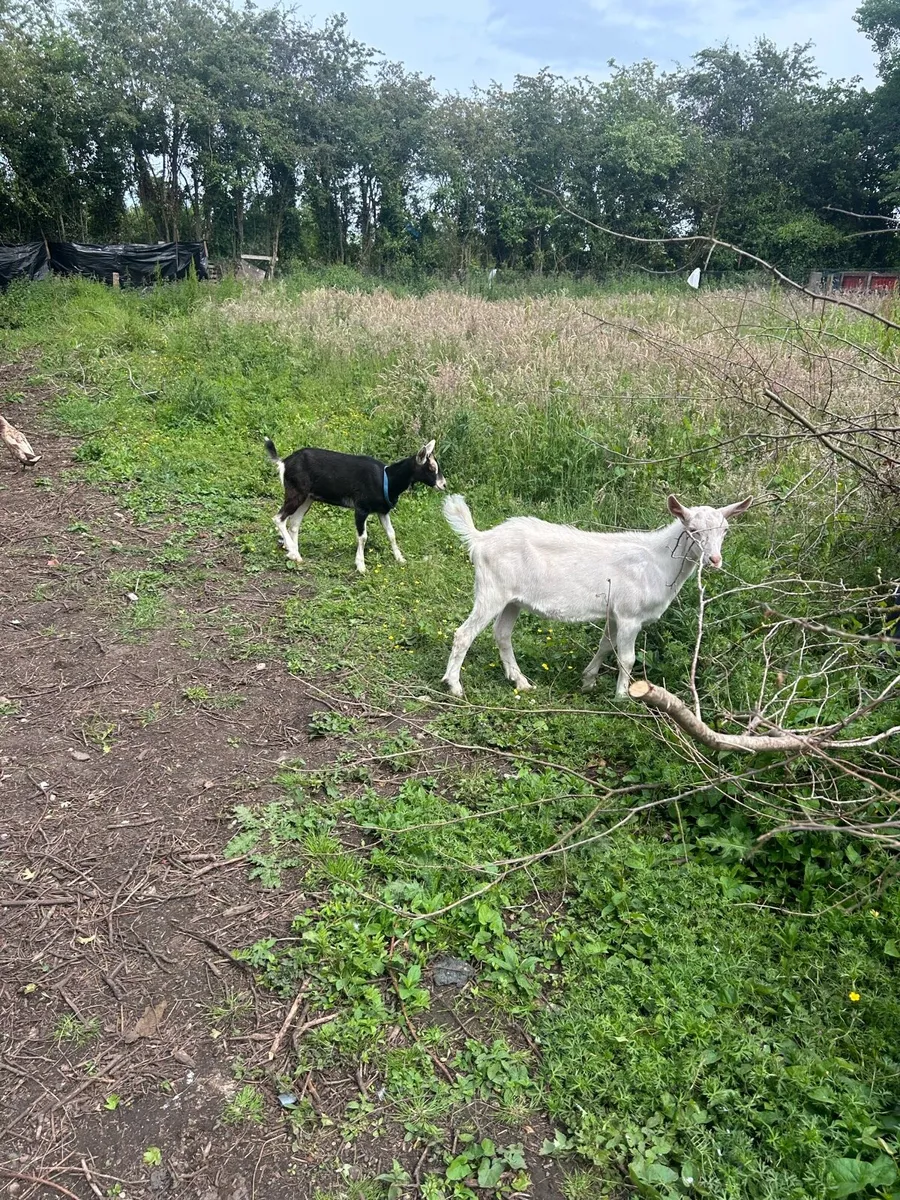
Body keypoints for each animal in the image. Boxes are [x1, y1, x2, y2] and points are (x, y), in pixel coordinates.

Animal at [264, 437, 446, 573]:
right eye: (431, 467)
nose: (443, 485)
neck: (387, 479)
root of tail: (284, 462)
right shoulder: (361, 509)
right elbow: (363, 537)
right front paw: (361, 566)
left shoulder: (383, 511)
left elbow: (391, 534)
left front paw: (401, 559)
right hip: (295, 492)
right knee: (279, 518)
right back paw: (293, 552)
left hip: (308, 497)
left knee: (294, 523)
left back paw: (295, 554)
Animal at [441, 492, 752, 698]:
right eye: (692, 530)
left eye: (725, 530)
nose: (714, 560)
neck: (658, 561)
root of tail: (480, 539)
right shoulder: (629, 614)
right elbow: (627, 658)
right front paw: (623, 697)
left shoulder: (614, 612)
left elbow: (606, 646)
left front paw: (588, 681)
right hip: (492, 590)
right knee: (464, 633)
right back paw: (454, 685)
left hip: (512, 599)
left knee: (502, 633)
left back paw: (521, 682)